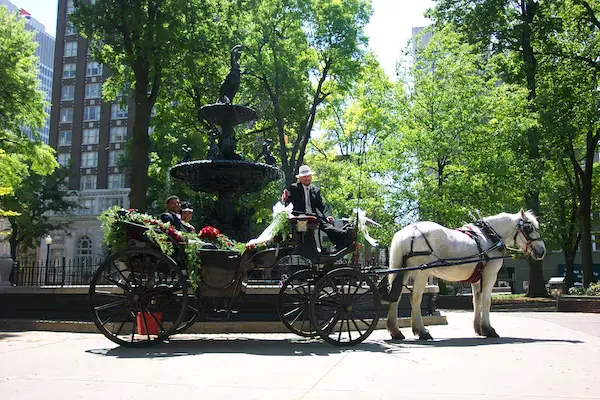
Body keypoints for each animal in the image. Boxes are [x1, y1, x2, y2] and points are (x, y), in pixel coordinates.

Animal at [386, 209, 548, 340]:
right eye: (529, 228)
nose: (541, 251)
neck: (489, 237)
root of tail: (407, 233)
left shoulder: (477, 279)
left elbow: (477, 301)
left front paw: (479, 328)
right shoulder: (490, 274)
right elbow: (486, 301)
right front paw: (488, 329)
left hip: (403, 270)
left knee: (396, 296)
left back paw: (396, 331)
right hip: (421, 272)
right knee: (415, 298)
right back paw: (422, 331)